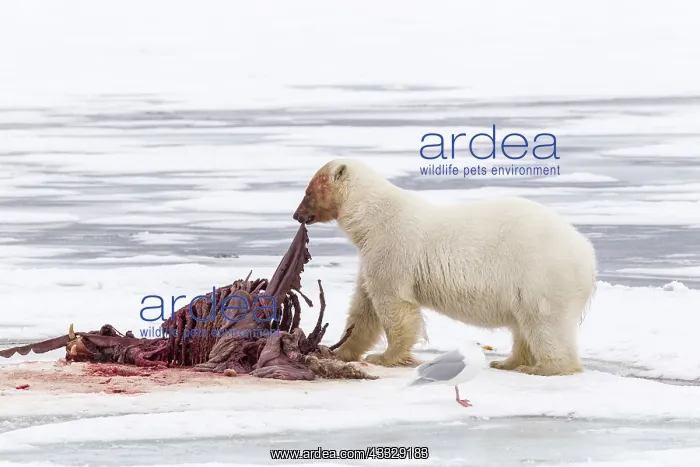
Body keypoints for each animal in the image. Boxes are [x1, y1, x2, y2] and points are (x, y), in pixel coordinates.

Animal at [292, 158, 597, 376]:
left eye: (307, 191)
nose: (296, 215)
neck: (372, 216)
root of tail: (588, 254)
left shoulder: (392, 247)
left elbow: (394, 305)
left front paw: (384, 357)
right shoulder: (371, 256)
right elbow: (364, 307)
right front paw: (339, 351)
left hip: (542, 273)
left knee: (544, 322)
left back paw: (544, 367)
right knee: (524, 324)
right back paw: (507, 362)